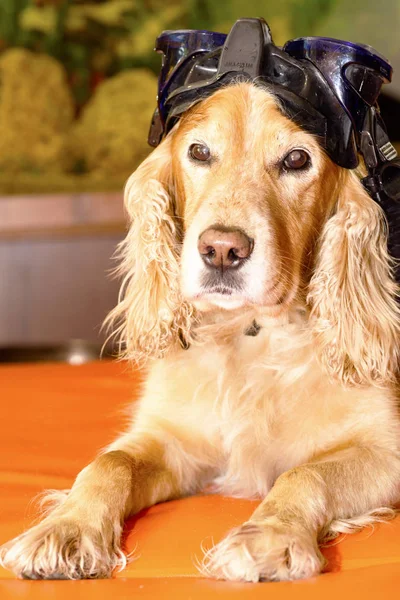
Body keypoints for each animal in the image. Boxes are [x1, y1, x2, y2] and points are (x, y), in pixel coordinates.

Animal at [0, 81, 400, 580]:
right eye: (199, 151)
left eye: (296, 159)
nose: (222, 249)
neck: (249, 332)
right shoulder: (174, 443)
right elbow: (109, 462)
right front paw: (68, 528)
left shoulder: (385, 448)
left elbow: (305, 473)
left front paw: (270, 537)